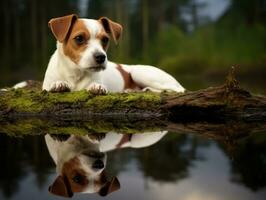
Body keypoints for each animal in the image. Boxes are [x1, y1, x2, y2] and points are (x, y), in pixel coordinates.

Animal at [43, 14, 185, 94]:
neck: (75, 73)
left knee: (177, 90)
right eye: (79, 38)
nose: (101, 57)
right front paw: (59, 84)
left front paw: (97, 87)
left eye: (105, 39)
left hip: (139, 73)